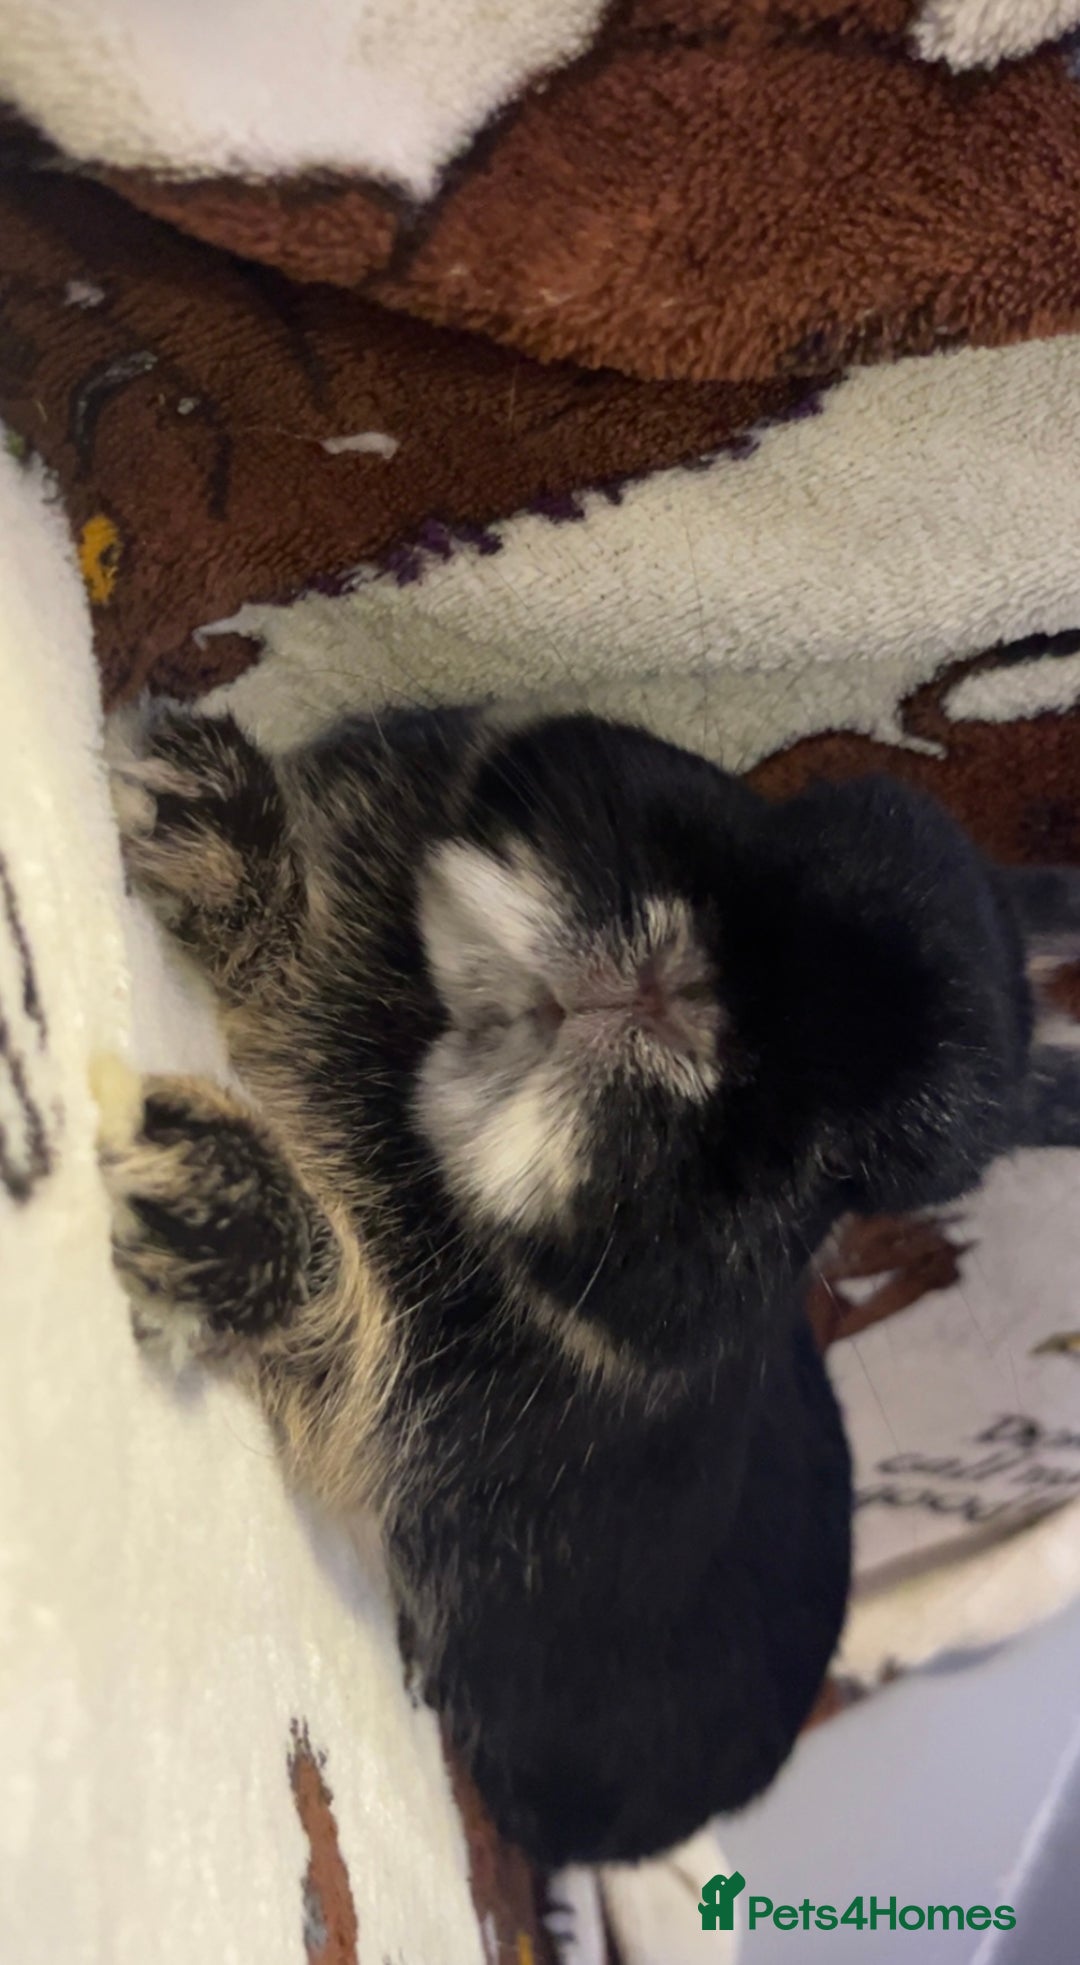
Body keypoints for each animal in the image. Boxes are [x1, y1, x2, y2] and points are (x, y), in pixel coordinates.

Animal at [103, 701, 1080, 1868]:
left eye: (847, 1171)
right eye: (803, 825)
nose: (691, 998)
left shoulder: (389, 1413)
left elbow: (334, 1312)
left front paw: (195, 1195)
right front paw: (187, 798)